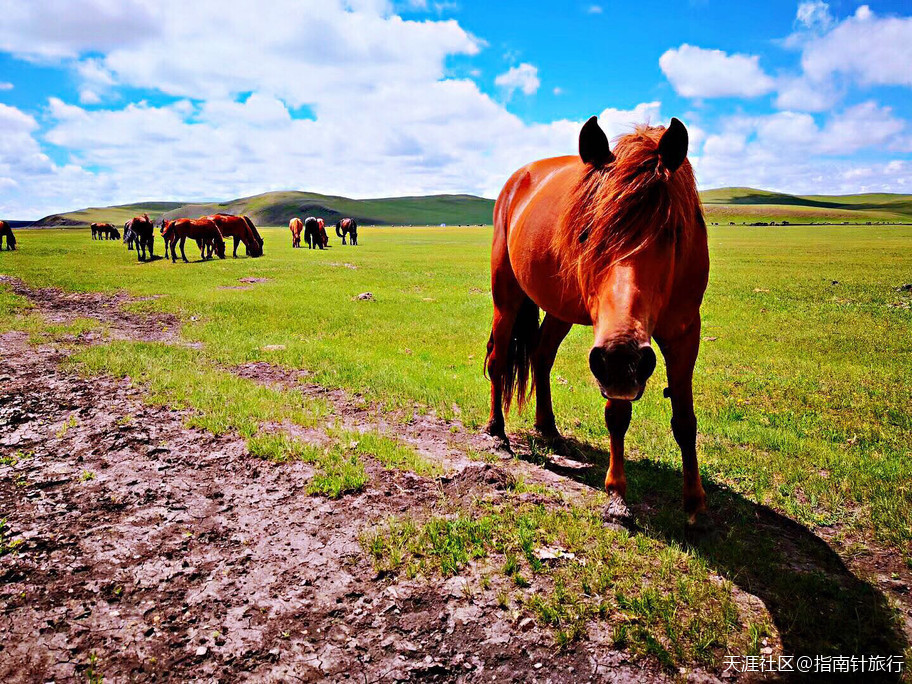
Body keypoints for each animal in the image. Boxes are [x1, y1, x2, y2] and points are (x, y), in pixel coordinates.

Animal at [480, 116, 708, 520]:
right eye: (585, 234)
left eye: (672, 233)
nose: (623, 358)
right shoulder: (611, 349)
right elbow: (617, 413)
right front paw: (617, 494)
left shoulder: (684, 332)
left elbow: (685, 419)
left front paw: (694, 502)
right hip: (506, 298)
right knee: (499, 361)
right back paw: (497, 433)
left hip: (560, 310)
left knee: (541, 356)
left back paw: (549, 429)